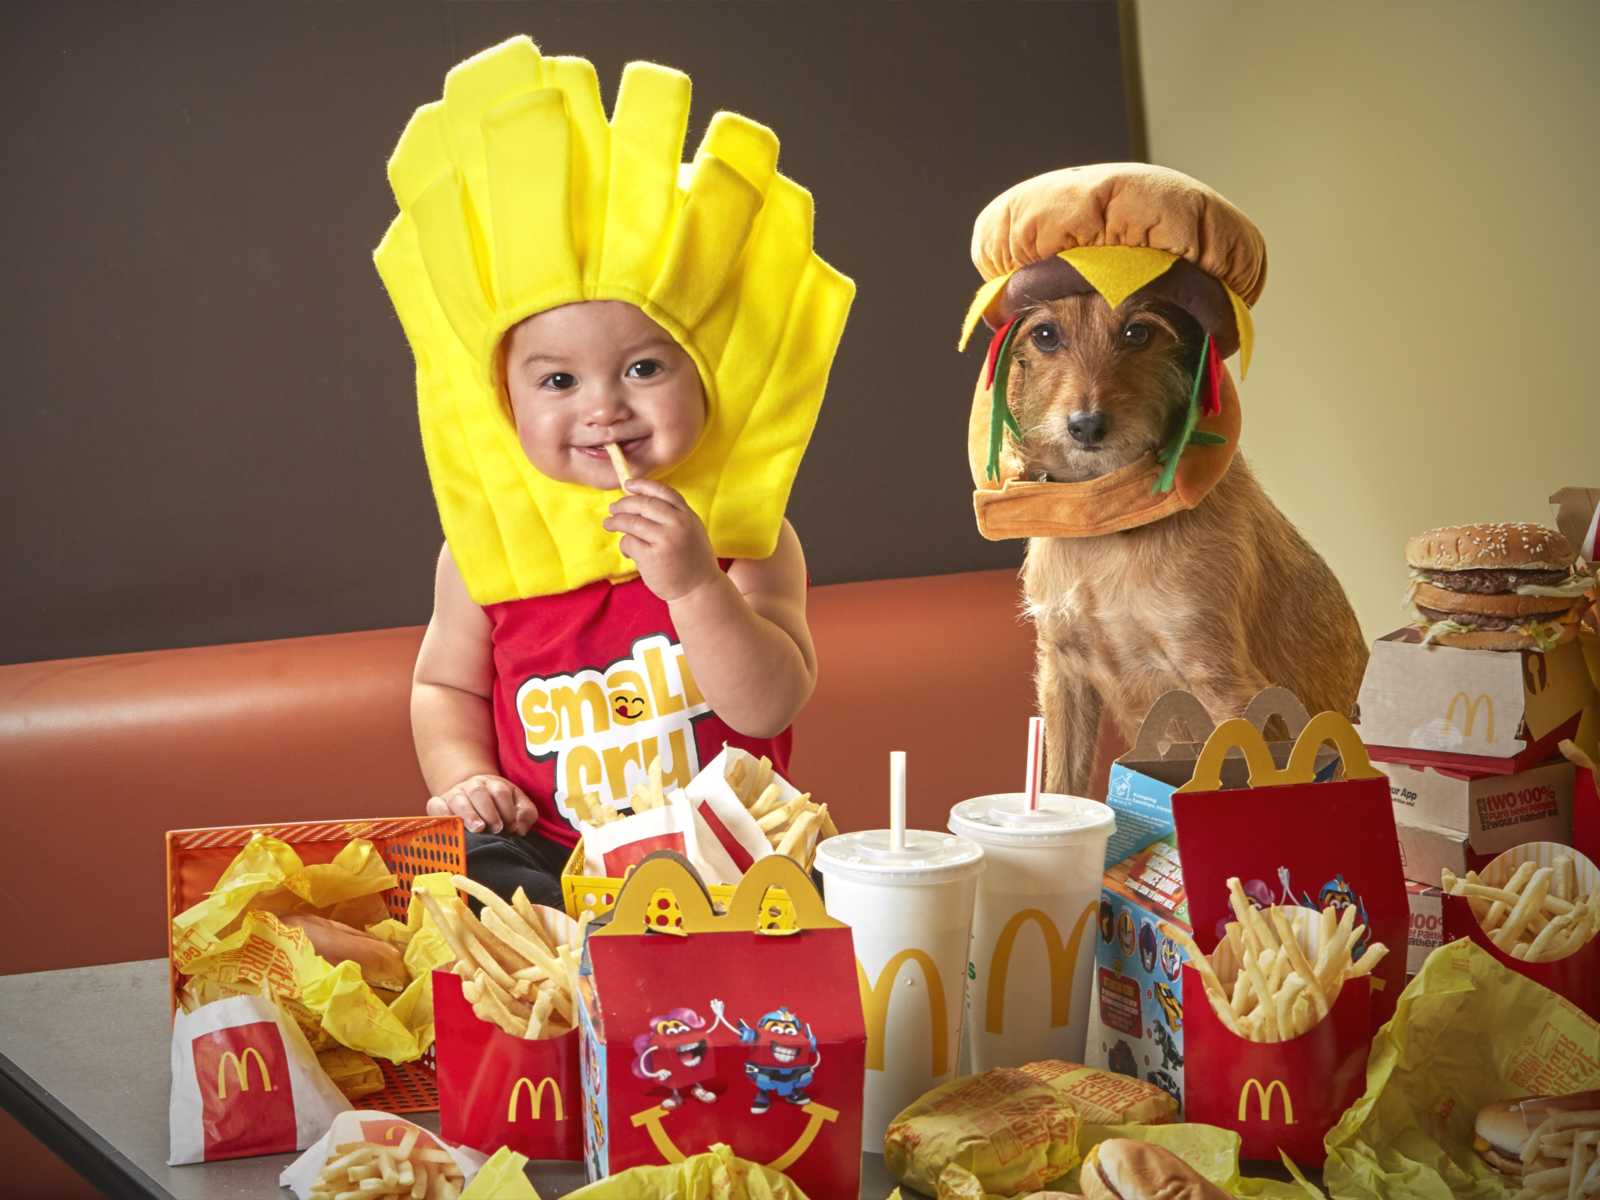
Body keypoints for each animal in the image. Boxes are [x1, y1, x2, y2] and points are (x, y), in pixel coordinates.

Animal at [1011, 294, 1363, 800]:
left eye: (1138, 333)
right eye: (1044, 334)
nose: (1087, 426)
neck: (1111, 519)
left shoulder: (1225, 686)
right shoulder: (1064, 672)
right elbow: (1062, 783)